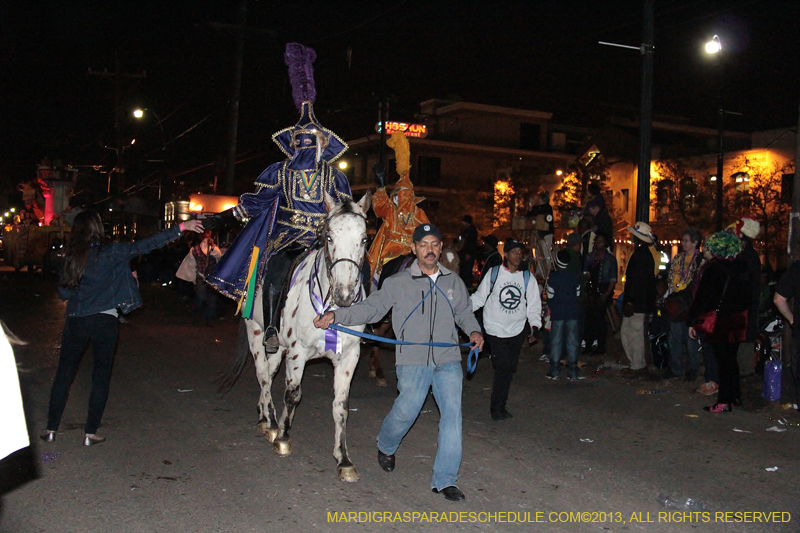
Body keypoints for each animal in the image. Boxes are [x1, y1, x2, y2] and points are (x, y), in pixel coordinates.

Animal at [222, 192, 372, 482]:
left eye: (364, 239)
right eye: (329, 237)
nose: (345, 294)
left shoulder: (349, 357)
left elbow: (341, 406)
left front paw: (344, 459)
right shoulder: (298, 351)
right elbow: (292, 394)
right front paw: (283, 437)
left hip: (278, 347)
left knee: (269, 374)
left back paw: (265, 416)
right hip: (256, 333)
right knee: (262, 375)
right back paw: (269, 423)